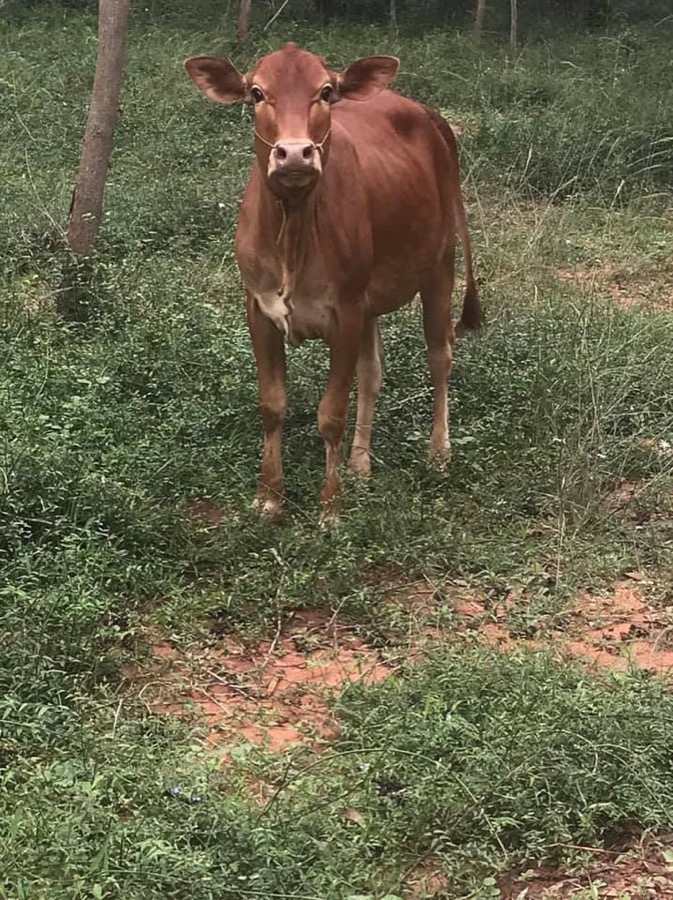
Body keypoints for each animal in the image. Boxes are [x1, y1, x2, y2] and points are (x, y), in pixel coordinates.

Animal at [185, 42, 482, 522]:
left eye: (325, 91)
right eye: (256, 92)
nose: (294, 153)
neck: (294, 229)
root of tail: (425, 112)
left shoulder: (345, 311)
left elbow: (331, 413)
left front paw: (330, 507)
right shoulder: (259, 308)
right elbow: (272, 404)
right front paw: (269, 496)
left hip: (440, 263)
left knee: (440, 357)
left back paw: (439, 454)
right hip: (372, 297)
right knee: (373, 371)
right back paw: (360, 462)